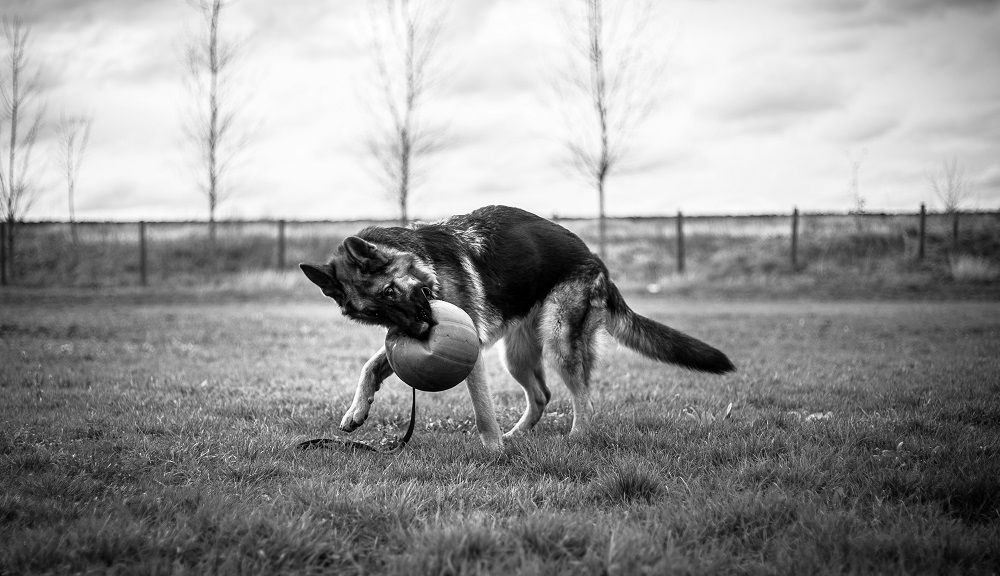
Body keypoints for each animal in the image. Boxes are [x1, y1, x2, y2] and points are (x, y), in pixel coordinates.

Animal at [298, 205, 736, 452]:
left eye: (391, 292)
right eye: (376, 314)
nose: (422, 333)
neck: (425, 264)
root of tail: (597, 261)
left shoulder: (469, 349)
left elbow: (481, 409)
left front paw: (492, 450)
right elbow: (371, 365)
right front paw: (356, 412)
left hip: (559, 342)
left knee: (583, 397)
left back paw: (575, 438)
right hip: (517, 354)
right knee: (542, 395)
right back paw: (518, 435)